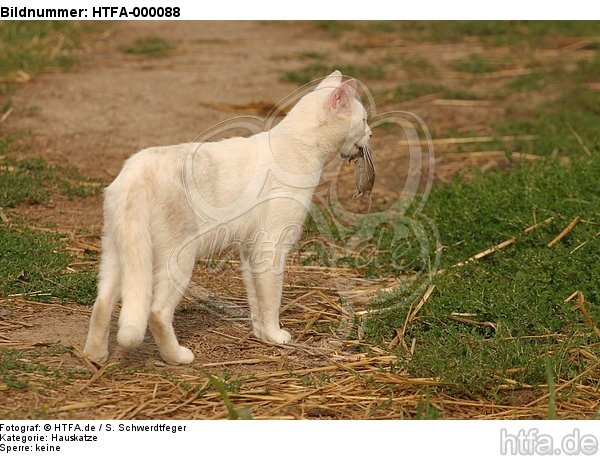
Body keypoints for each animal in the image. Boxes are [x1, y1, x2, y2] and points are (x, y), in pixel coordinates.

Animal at [79, 70, 370, 364]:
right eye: (364, 119)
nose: (370, 133)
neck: (298, 147)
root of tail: (134, 175)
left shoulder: (249, 249)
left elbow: (256, 298)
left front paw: (261, 335)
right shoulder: (271, 246)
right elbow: (272, 297)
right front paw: (276, 336)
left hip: (117, 253)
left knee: (102, 303)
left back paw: (95, 357)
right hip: (177, 258)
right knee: (157, 312)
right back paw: (179, 357)